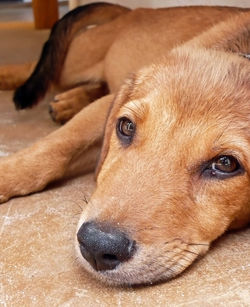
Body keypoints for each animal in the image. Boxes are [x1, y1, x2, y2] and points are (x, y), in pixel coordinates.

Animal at [0, 2, 249, 286]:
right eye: (127, 126)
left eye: (226, 163)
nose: (96, 246)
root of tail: (130, 11)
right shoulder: (103, 108)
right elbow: (51, 148)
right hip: (72, 61)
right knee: (31, 67)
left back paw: (69, 102)